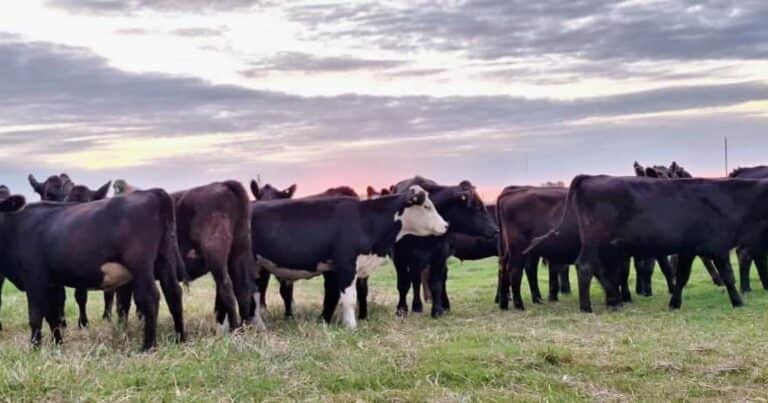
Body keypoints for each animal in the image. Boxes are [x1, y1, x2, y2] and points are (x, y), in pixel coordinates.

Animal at [0, 188, 185, 350]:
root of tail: (153, 192)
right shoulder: (50, 283)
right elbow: (52, 316)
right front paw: (57, 345)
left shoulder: (34, 280)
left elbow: (36, 317)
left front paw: (35, 349)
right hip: (165, 259)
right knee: (173, 293)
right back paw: (180, 338)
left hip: (140, 264)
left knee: (149, 297)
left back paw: (148, 346)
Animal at [113, 180, 260, 332]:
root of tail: (223, 184)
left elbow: (122, 304)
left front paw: (121, 330)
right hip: (239, 251)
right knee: (242, 289)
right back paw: (243, 328)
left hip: (215, 254)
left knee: (226, 288)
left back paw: (234, 329)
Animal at [248, 185, 448, 329]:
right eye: (427, 206)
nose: (446, 225)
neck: (365, 219)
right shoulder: (346, 265)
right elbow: (349, 298)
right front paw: (351, 326)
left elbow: (336, 296)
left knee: (255, 294)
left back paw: (258, 326)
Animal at [390, 177, 498, 318]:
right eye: (476, 208)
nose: (496, 229)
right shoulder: (399, 257)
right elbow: (403, 284)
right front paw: (401, 309)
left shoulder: (440, 254)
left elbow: (436, 283)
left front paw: (437, 310)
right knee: (416, 280)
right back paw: (418, 306)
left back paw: (437, 305)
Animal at [529, 175, 762, 313]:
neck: (729, 198)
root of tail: (589, 177)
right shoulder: (718, 246)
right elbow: (728, 276)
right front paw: (738, 302)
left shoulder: (689, 249)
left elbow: (681, 276)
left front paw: (674, 303)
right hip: (595, 241)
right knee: (585, 266)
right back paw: (587, 306)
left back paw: (614, 300)